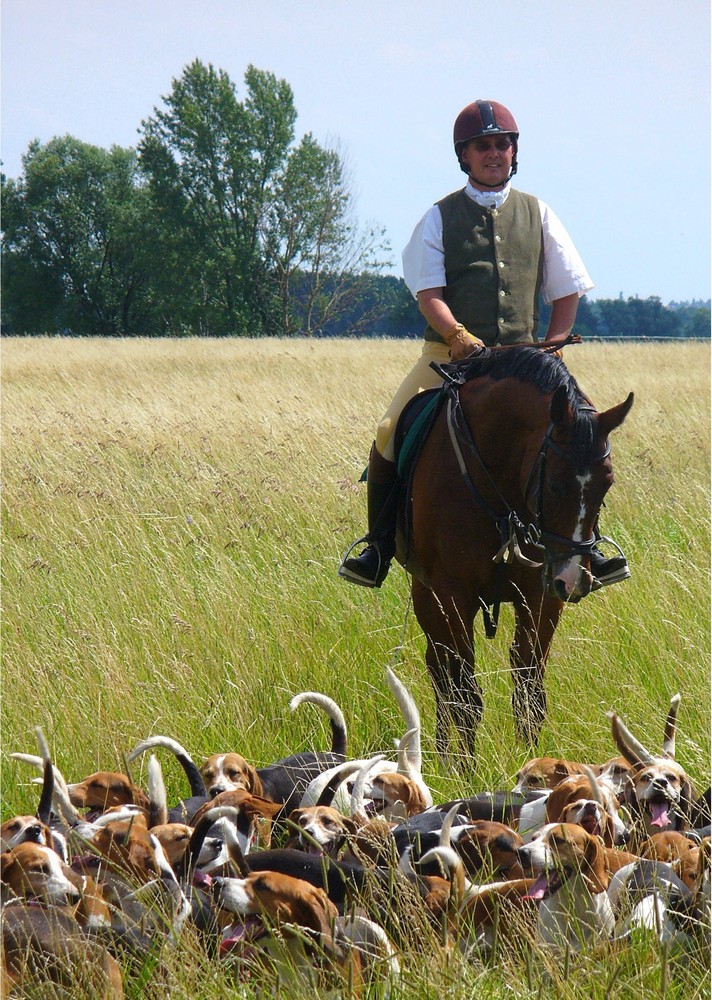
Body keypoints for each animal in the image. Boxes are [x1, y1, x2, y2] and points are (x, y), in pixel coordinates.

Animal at [394, 348, 636, 760]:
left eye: (607, 483)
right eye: (554, 483)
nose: (573, 581)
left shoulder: (541, 598)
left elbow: (529, 695)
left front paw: (532, 765)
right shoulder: (453, 597)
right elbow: (467, 697)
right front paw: (465, 769)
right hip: (427, 596)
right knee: (442, 674)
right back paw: (443, 756)